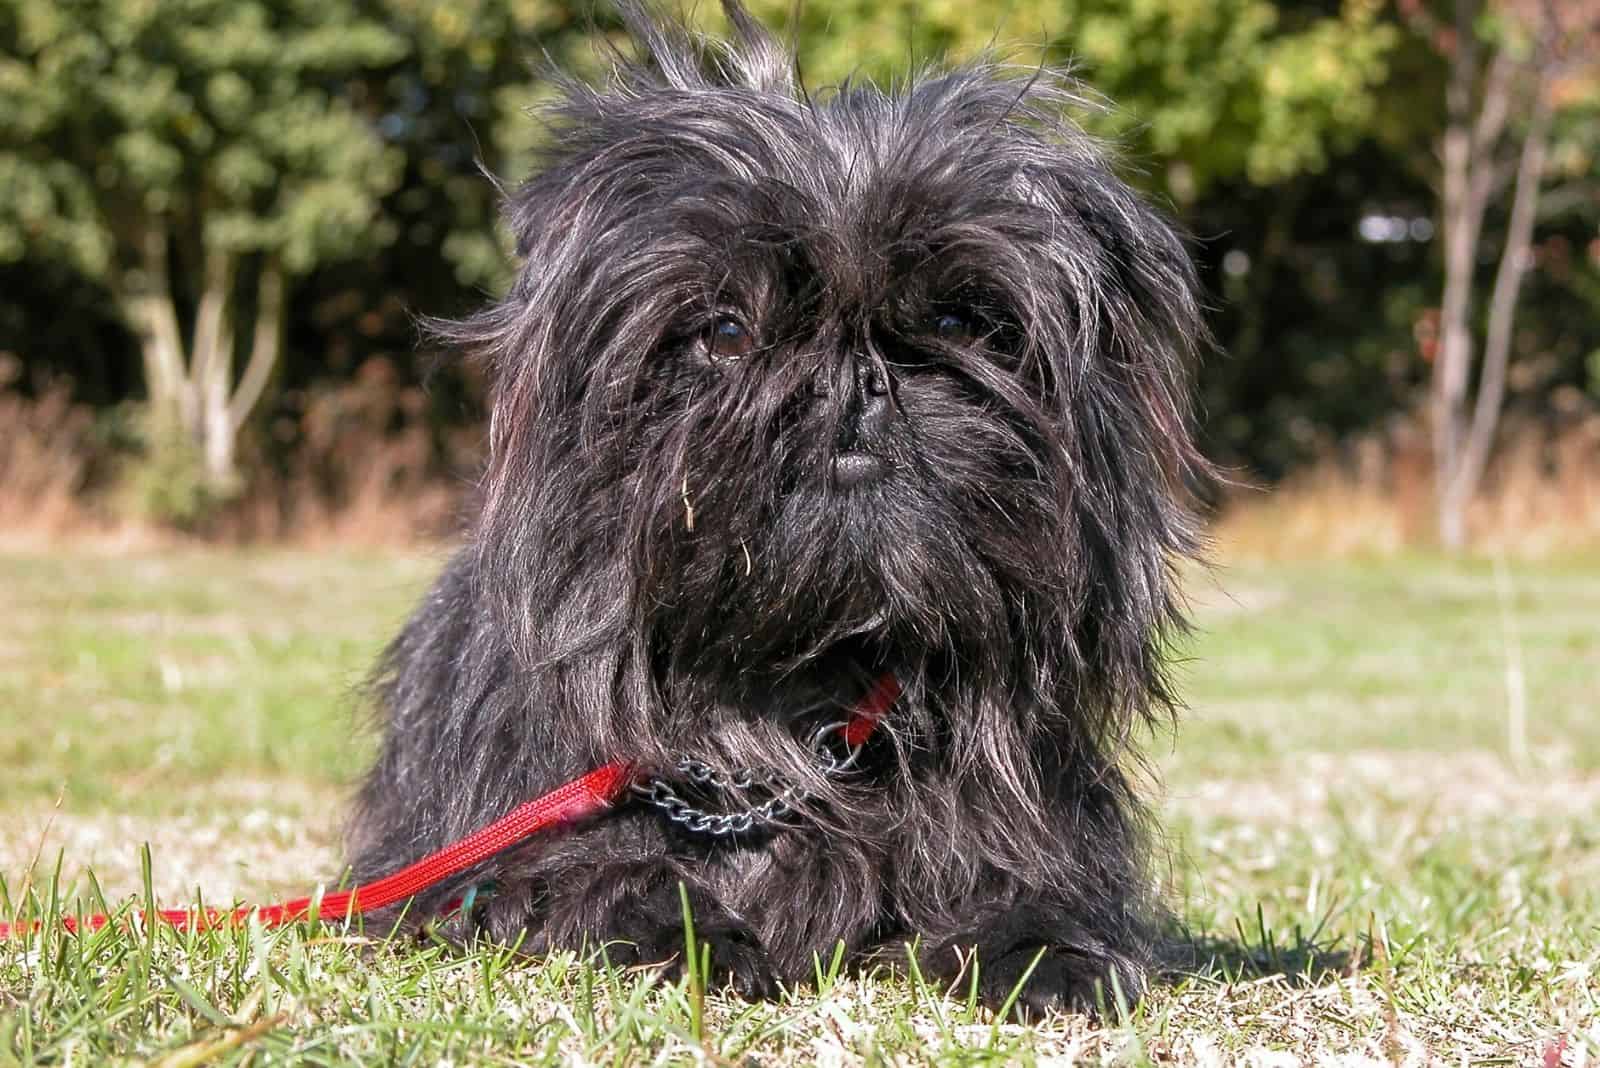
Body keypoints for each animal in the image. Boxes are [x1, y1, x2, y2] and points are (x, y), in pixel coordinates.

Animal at [347, 2, 1203, 1016]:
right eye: (723, 331)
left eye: (958, 321)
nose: (856, 383)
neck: (803, 683)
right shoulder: (517, 840)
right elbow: (590, 875)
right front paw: (680, 932)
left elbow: (1027, 883)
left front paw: (1045, 948)